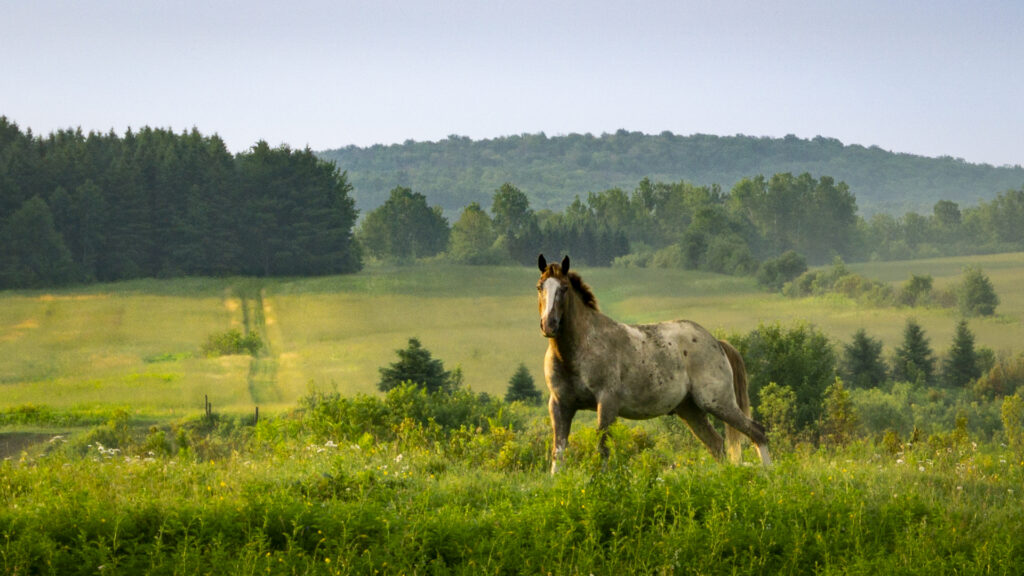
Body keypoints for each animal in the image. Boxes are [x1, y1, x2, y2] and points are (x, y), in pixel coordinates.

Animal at [537, 254, 771, 474]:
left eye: (564, 288)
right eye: (540, 287)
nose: (549, 325)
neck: (579, 350)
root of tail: (717, 343)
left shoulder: (606, 402)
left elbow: (602, 448)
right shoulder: (560, 405)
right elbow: (559, 451)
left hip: (717, 402)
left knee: (757, 432)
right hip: (691, 410)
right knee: (716, 444)